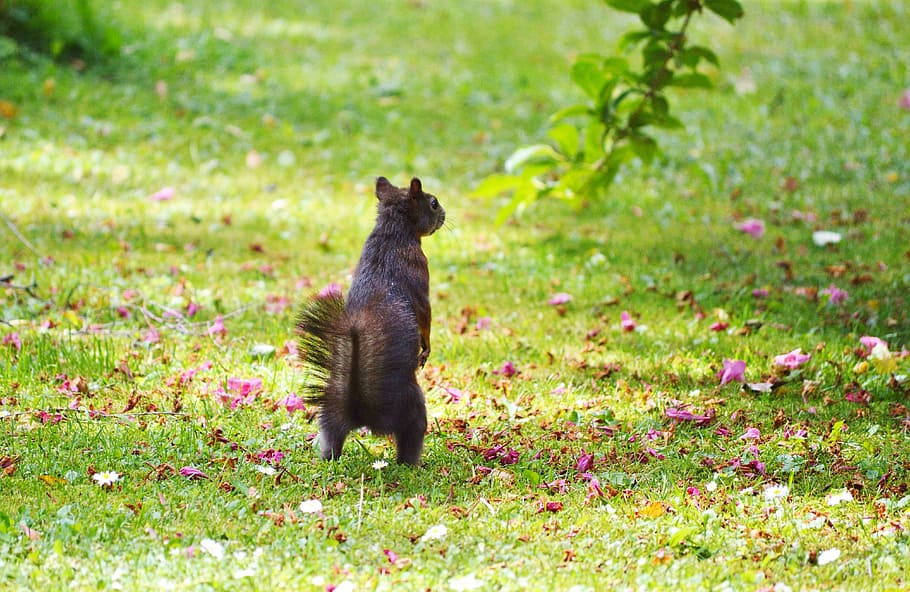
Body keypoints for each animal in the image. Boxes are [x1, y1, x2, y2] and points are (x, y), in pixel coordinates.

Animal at [296, 176, 445, 465]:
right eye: (433, 203)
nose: (444, 215)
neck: (392, 232)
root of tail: (362, 410)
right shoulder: (419, 269)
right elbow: (425, 314)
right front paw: (427, 349)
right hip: (413, 409)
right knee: (411, 437)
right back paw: (414, 463)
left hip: (329, 413)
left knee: (331, 438)